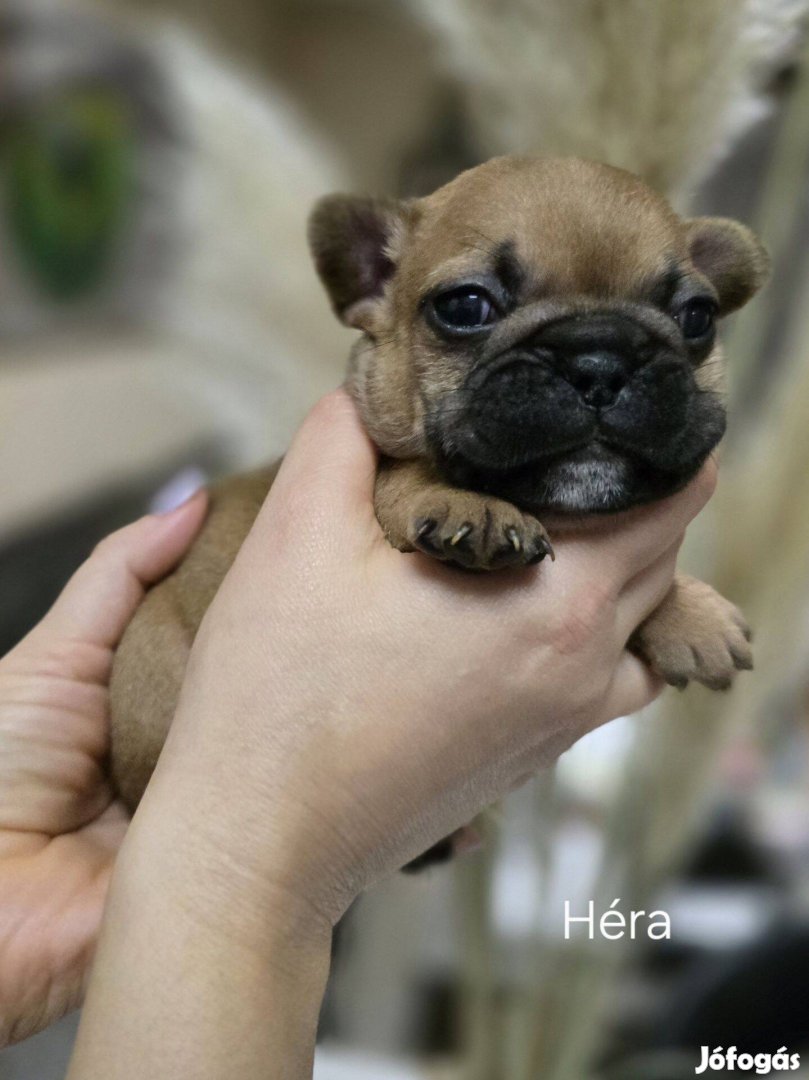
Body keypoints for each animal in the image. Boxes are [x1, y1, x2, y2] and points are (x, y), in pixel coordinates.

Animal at [110, 156, 769, 825]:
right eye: (466, 306)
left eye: (697, 317)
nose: (599, 361)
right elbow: (404, 474)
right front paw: (467, 505)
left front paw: (692, 613)